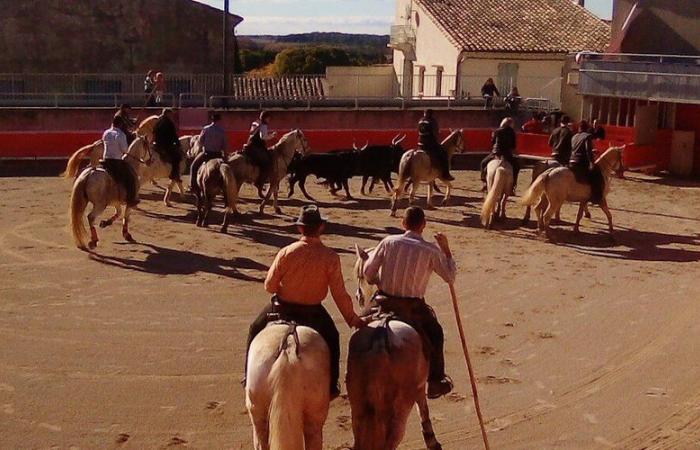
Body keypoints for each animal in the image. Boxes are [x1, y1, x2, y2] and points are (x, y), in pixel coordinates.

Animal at [350, 246, 442, 450]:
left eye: (359, 275)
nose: (358, 296)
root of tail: (380, 338)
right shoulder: (419, 386)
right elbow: (423, 408)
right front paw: (432, 441)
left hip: (358, 406)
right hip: (401, 406)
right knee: (391, 438)